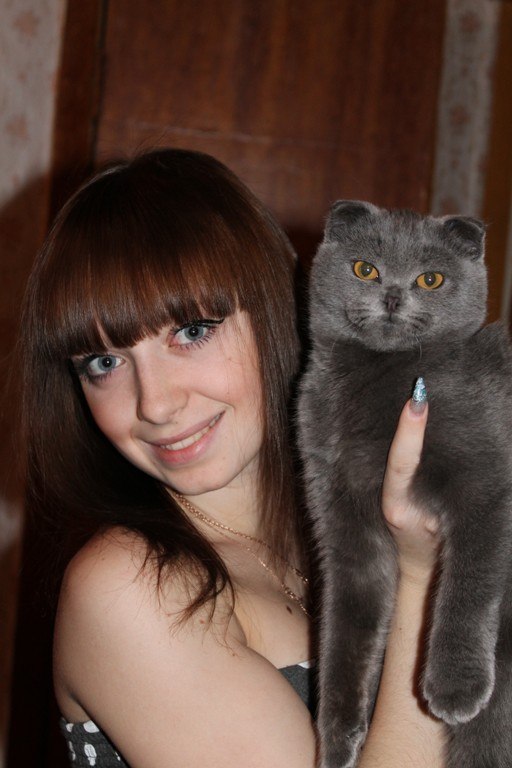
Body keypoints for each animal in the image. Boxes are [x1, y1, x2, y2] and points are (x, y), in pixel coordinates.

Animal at [297, 200, 512, 768]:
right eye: (365, 269)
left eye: (430, 279)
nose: (393, 295)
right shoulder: (343, 520)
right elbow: (345, 634)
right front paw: (337, 743)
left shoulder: (490, 479)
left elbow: (470, 579)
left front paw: (455, 686)